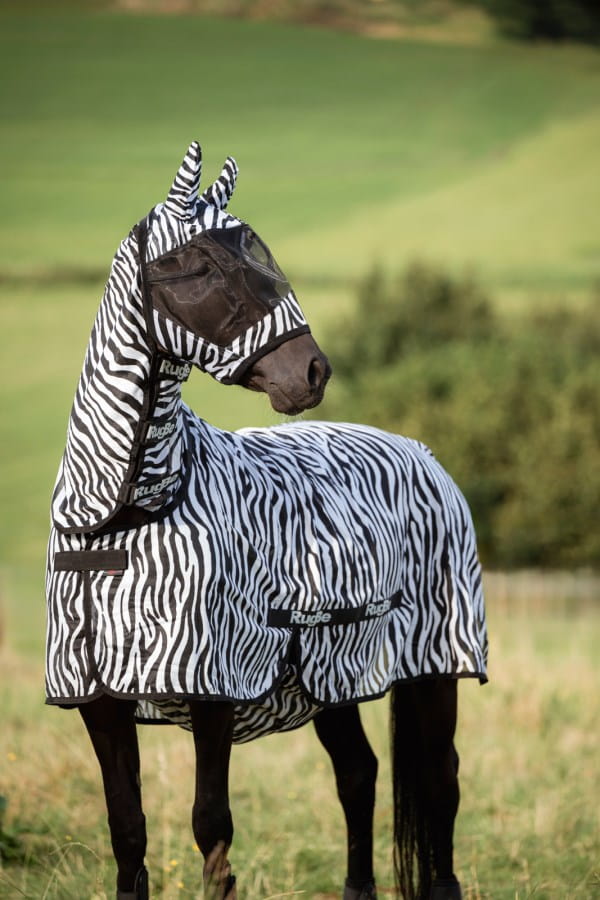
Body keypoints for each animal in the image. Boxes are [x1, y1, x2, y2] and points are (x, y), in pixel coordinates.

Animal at [46, 141, 488, 899]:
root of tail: (423, 453)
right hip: (335, 676)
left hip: (435, 665)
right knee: (359, 774)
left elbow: (211, 828)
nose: (312, 372)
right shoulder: (99, 700)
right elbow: (128, 832)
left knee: (441, 786)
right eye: (201, 264)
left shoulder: (213, 688)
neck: (120, 516)